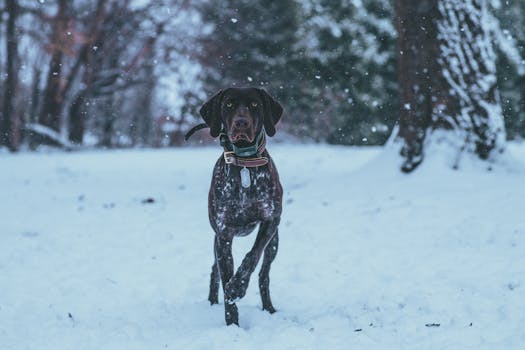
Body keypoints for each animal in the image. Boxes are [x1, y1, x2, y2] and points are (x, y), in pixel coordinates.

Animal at [194, 87, 282, 326]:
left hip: (274, 244)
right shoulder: (223, 234)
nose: (241, 123)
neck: (245, 163)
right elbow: (225, 278)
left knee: (263, 275)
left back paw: (269, 309)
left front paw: (238, 287)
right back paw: (212, 302)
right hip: (218, 242)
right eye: (229, 105)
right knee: (215, 270)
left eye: (254, 105)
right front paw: (232, 323)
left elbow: (252, 256)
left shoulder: (271, 220)